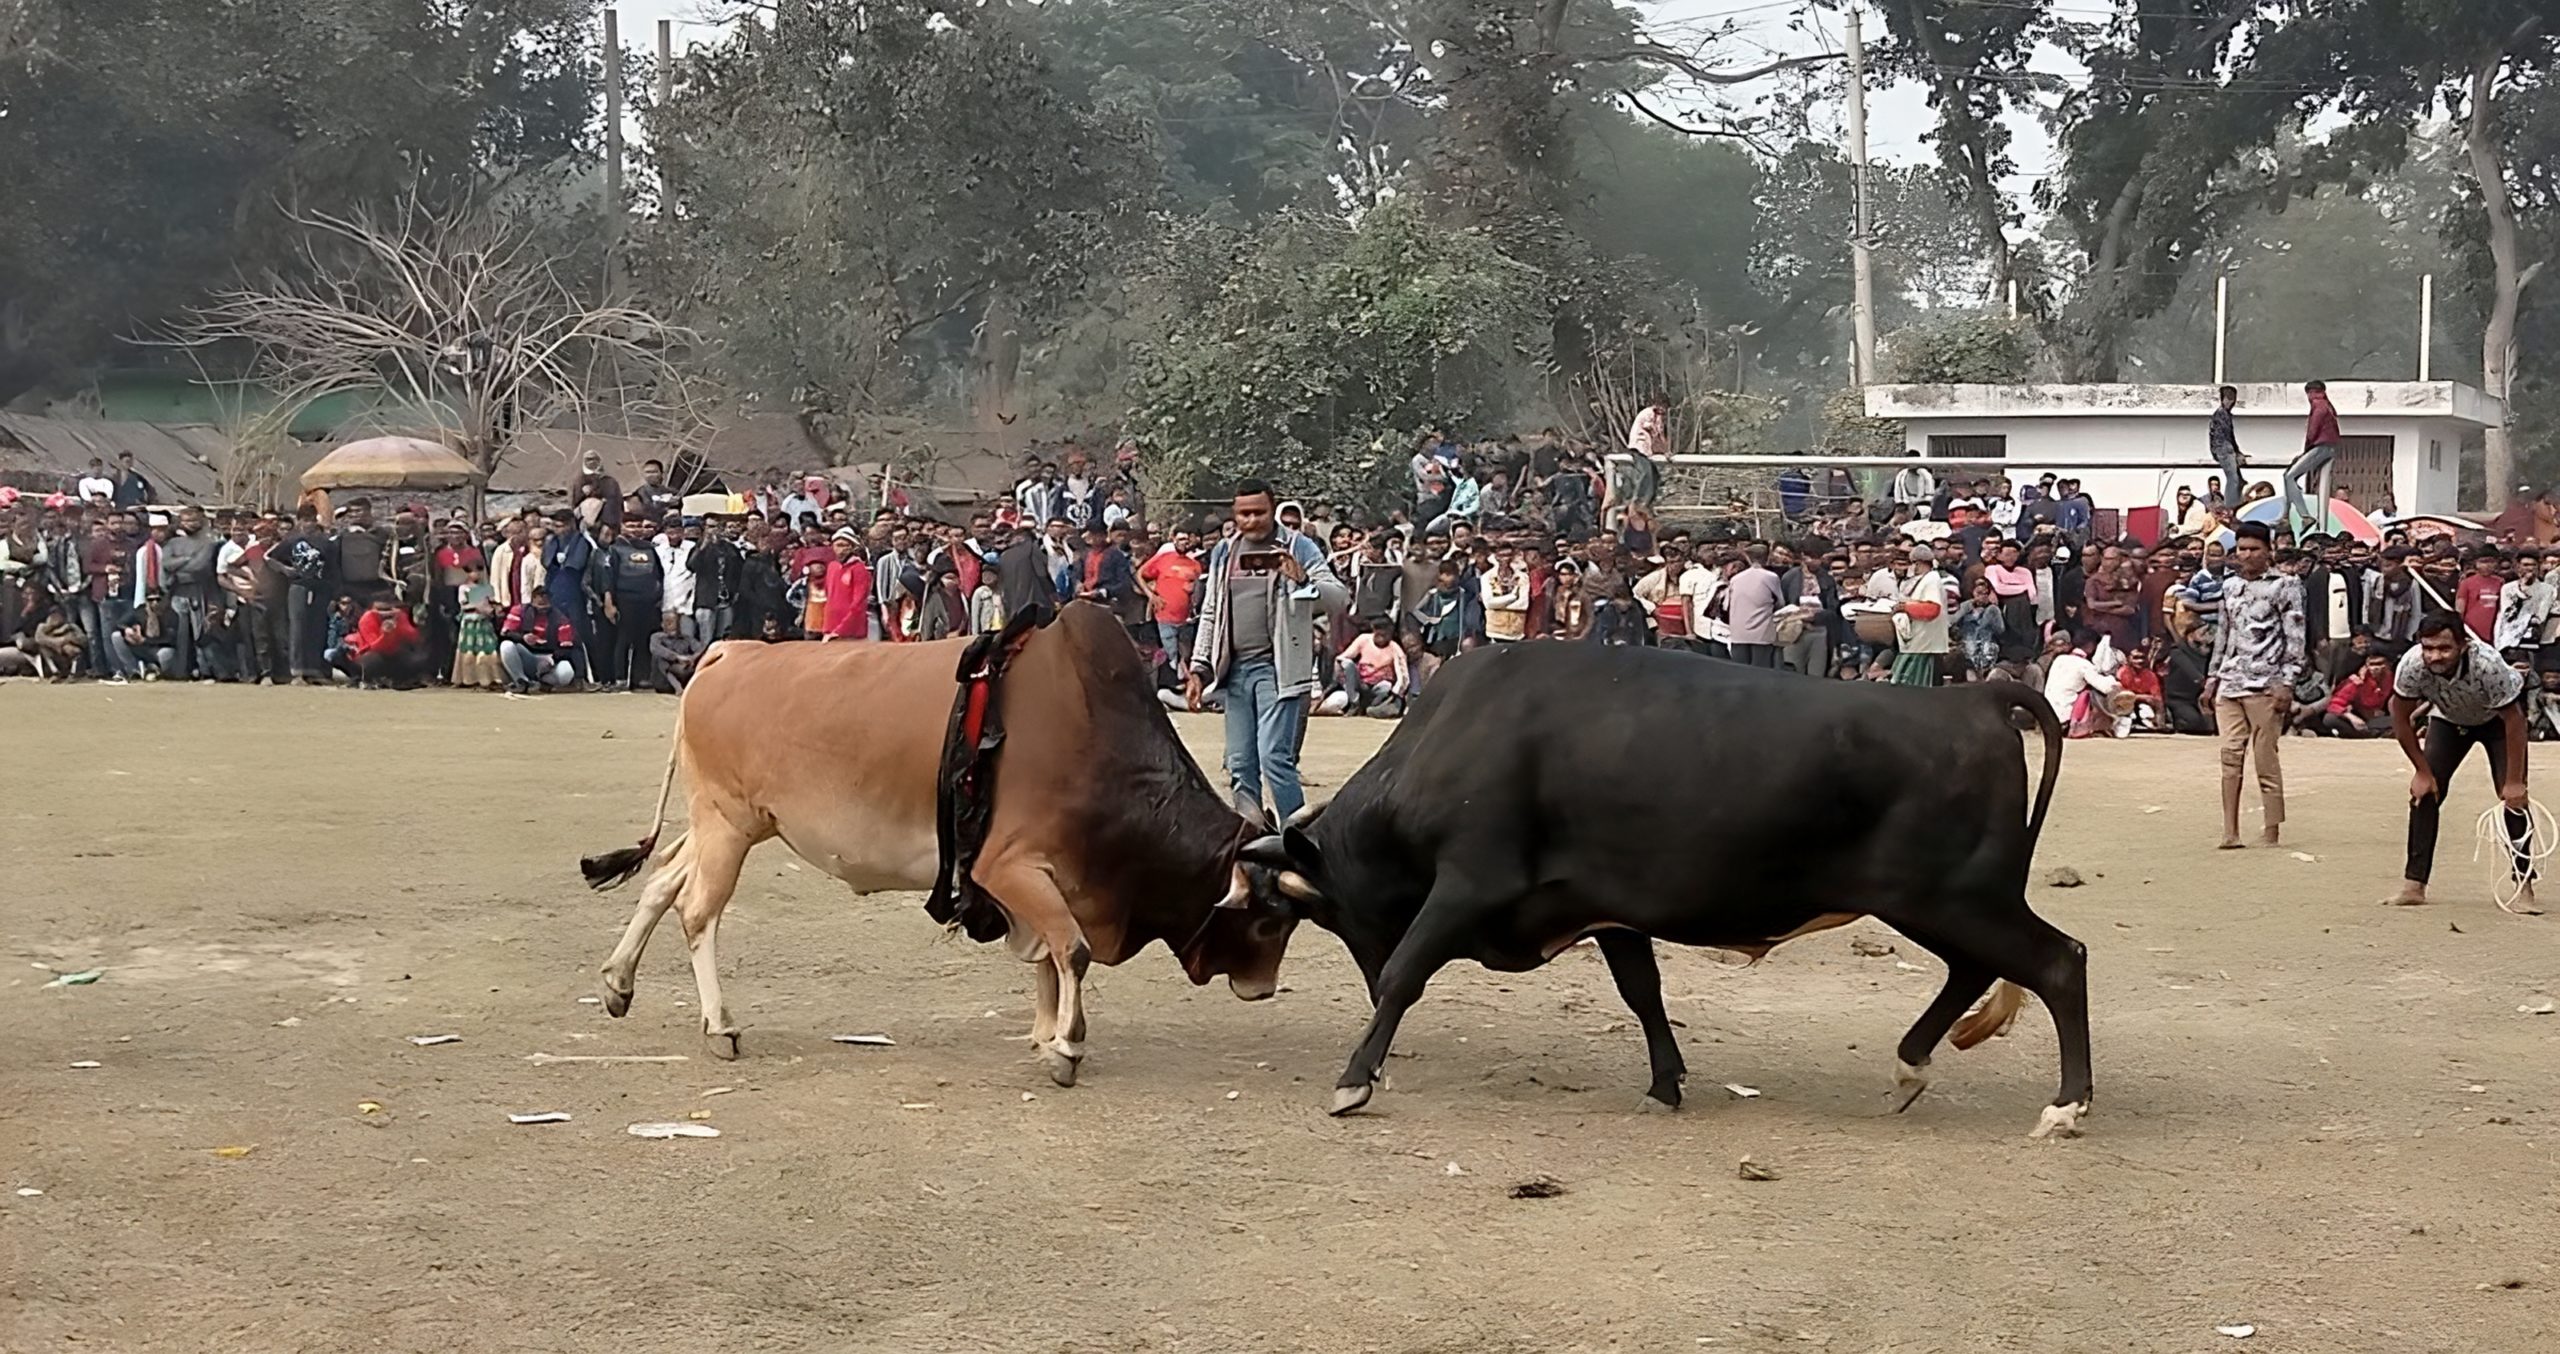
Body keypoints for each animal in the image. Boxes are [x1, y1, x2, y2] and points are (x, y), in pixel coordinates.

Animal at [583, 601, 1300, 1085]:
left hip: (727, 824)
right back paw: (720, 1026)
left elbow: (1049, 956)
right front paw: (1066, 1047)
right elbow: (1071, 950)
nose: (1263, 989)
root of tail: (729, 651)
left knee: (662, 878)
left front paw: (1045, 1035)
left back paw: (618, 981)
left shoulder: (1045, 880)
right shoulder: (1008, 867)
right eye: (1269, 921)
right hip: (726, 824)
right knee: (697, 910)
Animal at [1244, 645, 2099, 1141]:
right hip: (1944, 902)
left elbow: (1405, 974)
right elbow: (1642, 993)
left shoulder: (1468, 882)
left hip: (1954, 897)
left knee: (2058, 961)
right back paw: (1911, 1067)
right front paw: (1664, 1084)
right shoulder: (1610, 909)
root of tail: (1970, 697)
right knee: (1976, 969)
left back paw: (2066, 1105)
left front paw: (1354, 1081)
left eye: (1313, 910)